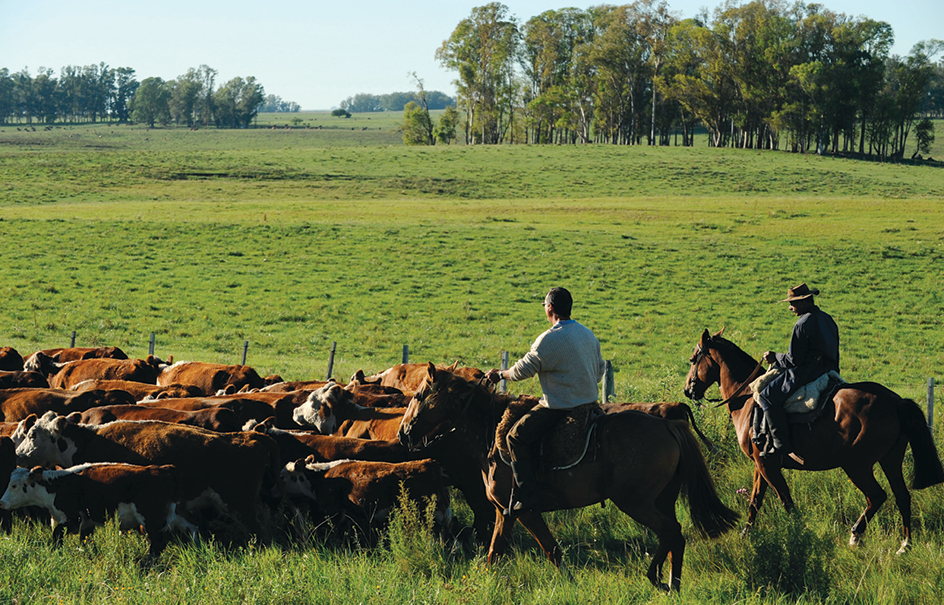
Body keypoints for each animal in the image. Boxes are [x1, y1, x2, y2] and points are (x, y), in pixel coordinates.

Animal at [0, 462, 190, 556]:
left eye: (14, 485)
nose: (1, 502)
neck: (59, 486)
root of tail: (165, 469)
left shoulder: (73, 520)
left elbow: (57, 534)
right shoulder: (87, 524)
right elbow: (86, 542)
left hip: (150, 519)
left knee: (157, 543)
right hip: (178, 515)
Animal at [398, 364, 736, 588]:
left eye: (419, 395)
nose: (403, 433)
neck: (491, 431)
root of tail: (668, 424)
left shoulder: (525, 512)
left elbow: (552, 550)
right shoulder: (504, 513)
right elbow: (495, 552)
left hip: (636, 503)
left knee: (671, 533)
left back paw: (658, 579)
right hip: (661, 500)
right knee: (673, 536)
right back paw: (669, 582)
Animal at [684, 326, 944, 552]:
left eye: (693, 359)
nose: (688, 390)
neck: (748, 398)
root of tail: (896, 401)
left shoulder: (767, 465)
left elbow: (786, 501)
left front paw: (797, 534)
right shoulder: (761, 465)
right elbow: (755, 501)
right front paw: (745, 534)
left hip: (857, 466)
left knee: (877, 496)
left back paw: (856, 535)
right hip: (890, 461)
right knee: (902, 497)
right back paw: (904, 545)